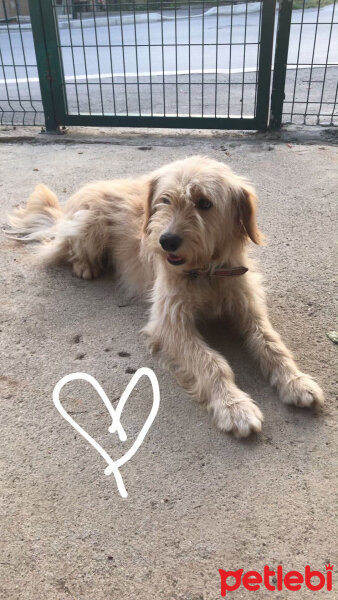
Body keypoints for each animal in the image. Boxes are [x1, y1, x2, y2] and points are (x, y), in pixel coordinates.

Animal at [4, 155, 322, 436]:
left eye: (204, 203)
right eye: (165, 201)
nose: (166, 241)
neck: (204, 272)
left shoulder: (247, 305)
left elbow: (271, 343)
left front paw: (296, 381)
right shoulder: (169, 323)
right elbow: (211, 361)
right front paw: (233, 406)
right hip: (87, 225)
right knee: (68, 248)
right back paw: (85, 265)